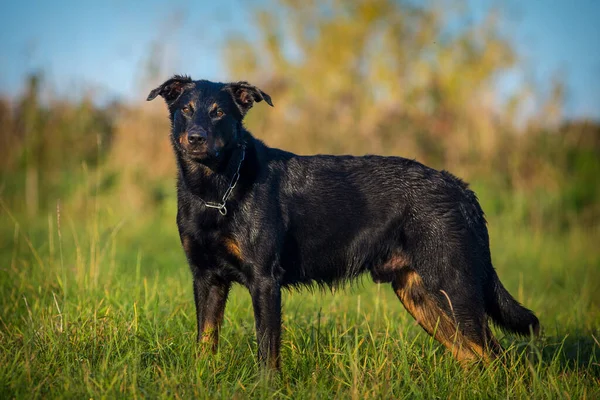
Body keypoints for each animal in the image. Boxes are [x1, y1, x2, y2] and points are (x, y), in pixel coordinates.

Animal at [146, 75, 540, 368]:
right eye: (185, 110)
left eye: (218, 113)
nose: (195, 138)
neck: (218, 189)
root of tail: (462, 190)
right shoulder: (206, 278)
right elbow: (205, 342)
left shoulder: (264, 281)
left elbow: (266, 352)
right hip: (421, 295)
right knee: (473, 357)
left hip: (454, 286)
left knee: (497, 358)